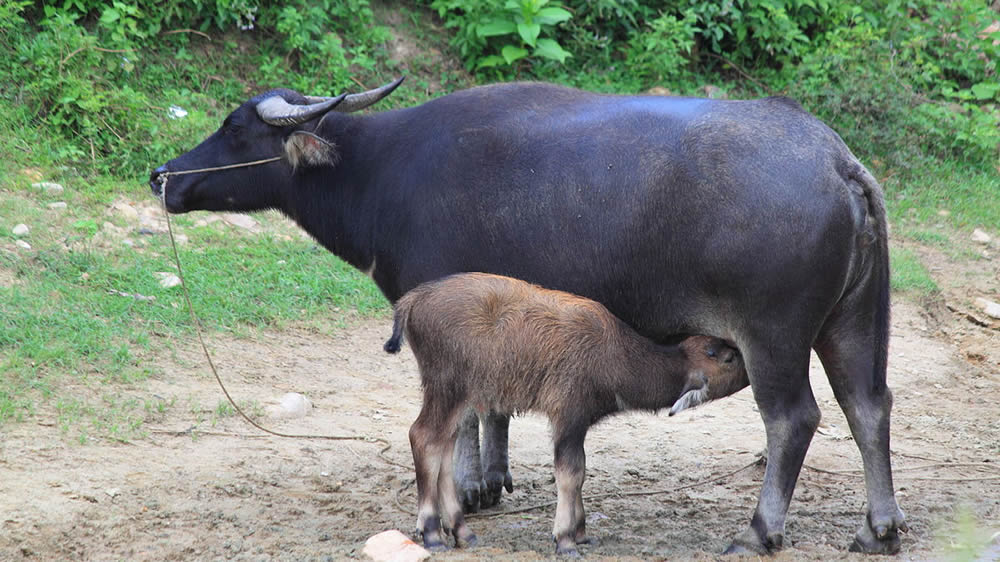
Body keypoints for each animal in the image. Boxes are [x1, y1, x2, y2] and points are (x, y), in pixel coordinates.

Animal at [152, 77, 912, 552]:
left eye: (235, 128)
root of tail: (837, 162)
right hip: (853, 320)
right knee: (868, 405)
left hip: (772, 335)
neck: (380, 171)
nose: (163, 176)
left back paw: (758, 531)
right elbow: (494, 405)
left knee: (795, 419)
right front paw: (491, 480)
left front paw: (463, 490)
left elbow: (463, 415)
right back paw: (877, 529)